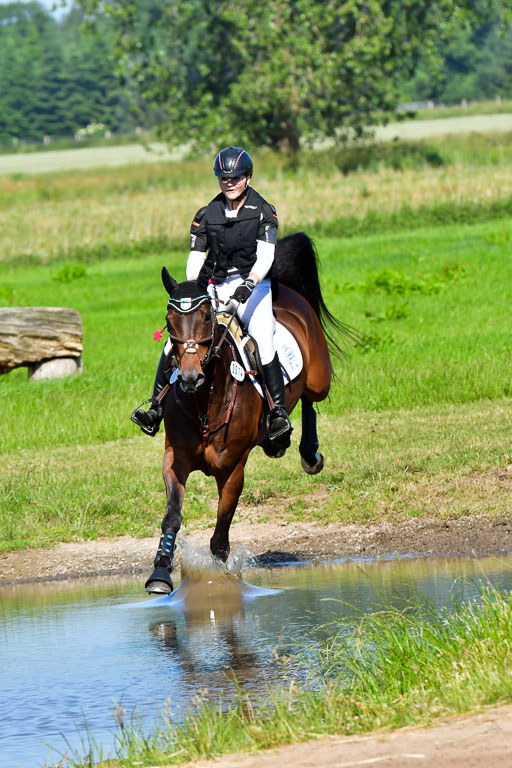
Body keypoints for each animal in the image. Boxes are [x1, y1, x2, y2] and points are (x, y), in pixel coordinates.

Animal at [145, 231, 354, 594]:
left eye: (207, 318)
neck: (204, 403)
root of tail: (287, 292)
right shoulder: (175, 458)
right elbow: (172, 515)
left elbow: (220, 539)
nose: (189, 378)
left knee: (310, 399)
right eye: (170, 323)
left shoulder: (233, 469)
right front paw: (160, 573)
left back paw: (305, 450)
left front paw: (222, 584)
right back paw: (277, 440)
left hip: (319, 378)